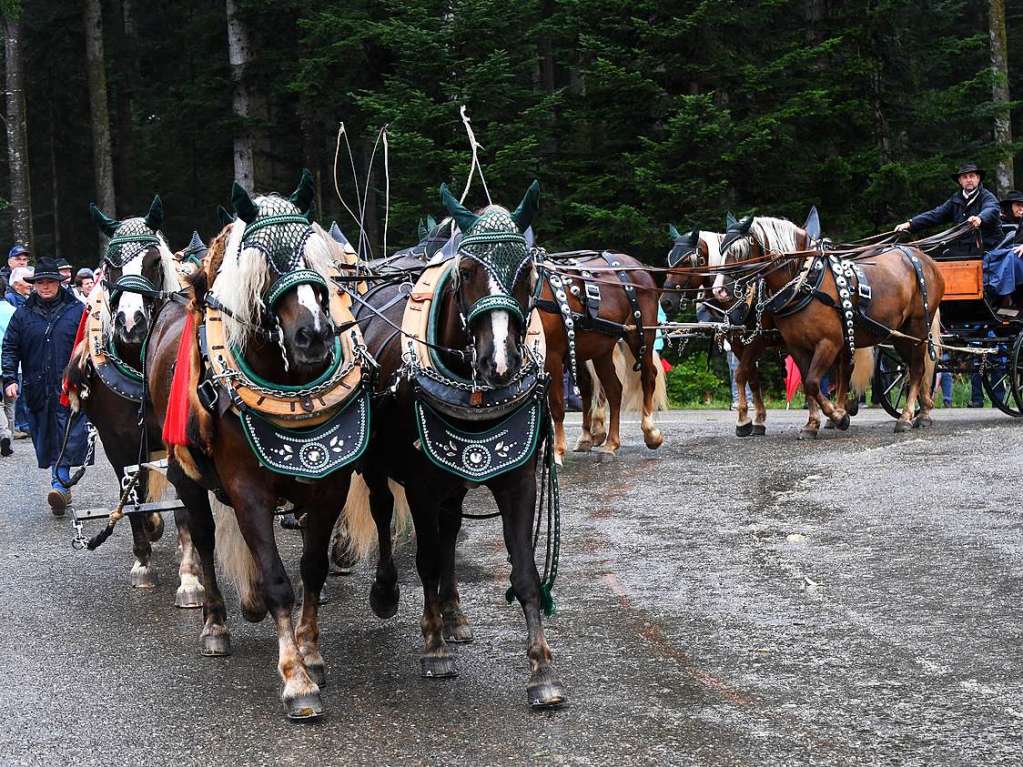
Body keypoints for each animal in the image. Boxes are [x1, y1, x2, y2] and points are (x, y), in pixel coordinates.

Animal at [65, 198, 203, 605]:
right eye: (110, 263)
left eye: (154, 261)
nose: (130, 322)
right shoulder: (116, 443)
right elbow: (134, 503)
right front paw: (142, 561)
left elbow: (183, 509)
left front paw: (190, 577)